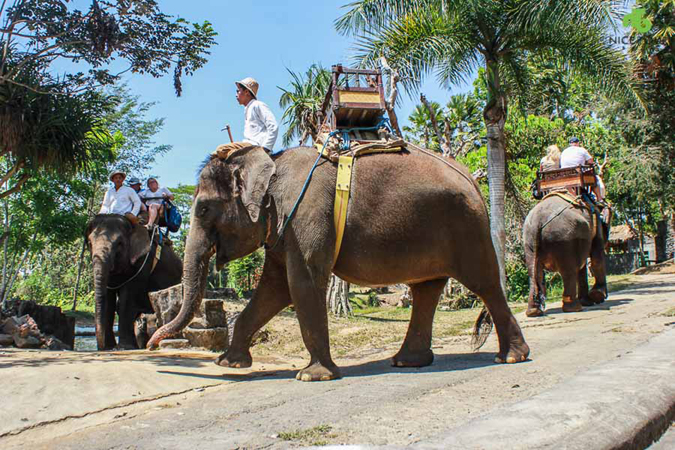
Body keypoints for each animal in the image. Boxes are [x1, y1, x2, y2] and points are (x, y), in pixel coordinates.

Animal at [86, 214, 182, 350]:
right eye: (89, 243)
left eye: (119, 244)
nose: (102, 346)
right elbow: (108, 300)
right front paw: (109, 347)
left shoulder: (144, 261)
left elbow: (127, 299)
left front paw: (123, 348)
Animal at [148, 145, 529, 381]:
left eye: (203, 209)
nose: (151, 342)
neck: (270, 163)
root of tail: (473, 179)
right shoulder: (282, 229)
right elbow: (274, 289)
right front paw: (230, 363)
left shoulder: (307, 217)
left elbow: (301, 284)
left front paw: (312, 376)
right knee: (426, 290)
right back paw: (407, 361)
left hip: (467, 228)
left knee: (484, 284)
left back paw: (512, 357)